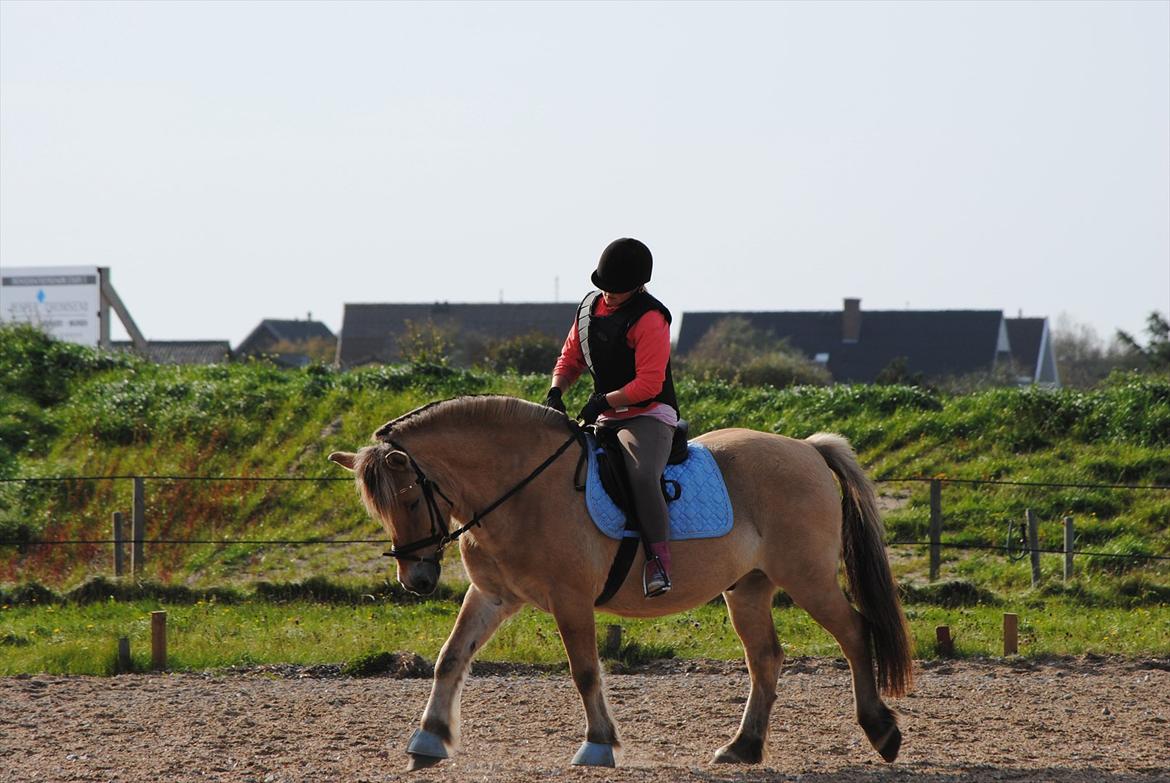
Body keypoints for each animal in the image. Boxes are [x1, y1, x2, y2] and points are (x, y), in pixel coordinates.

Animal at [329, 397, 912, 767]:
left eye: (409, 500)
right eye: (380, 508)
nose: (418, 579)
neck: (520, 487)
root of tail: (807, 448)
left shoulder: (570, 600)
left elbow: (585, 671)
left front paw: (598, 746)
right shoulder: (493, 595)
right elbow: (451, 658)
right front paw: (428, 739)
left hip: (808, 578)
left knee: (854, 633)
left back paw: (881, 730)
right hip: (749, 587)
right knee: (766, 658)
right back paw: (742, 747)